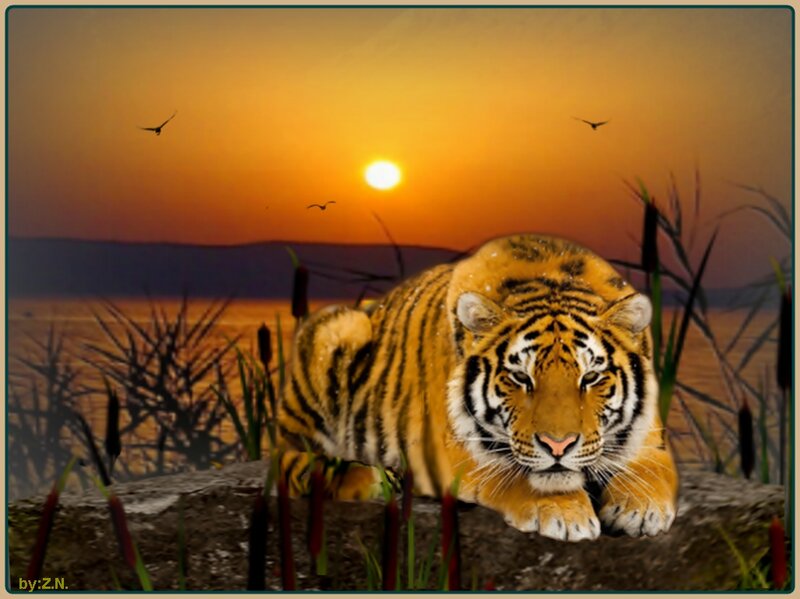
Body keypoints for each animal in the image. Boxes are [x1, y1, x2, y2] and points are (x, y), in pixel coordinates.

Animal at [276, 233, 678, 541]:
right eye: (521, 377)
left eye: (590, 377)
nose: (558, 446)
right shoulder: (457, 450)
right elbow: (520, 475)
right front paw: (565, 515)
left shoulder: (649, 435)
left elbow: (650, 469)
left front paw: (642, 509)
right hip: (339, 329)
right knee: (293, 458)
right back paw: (364, 478)